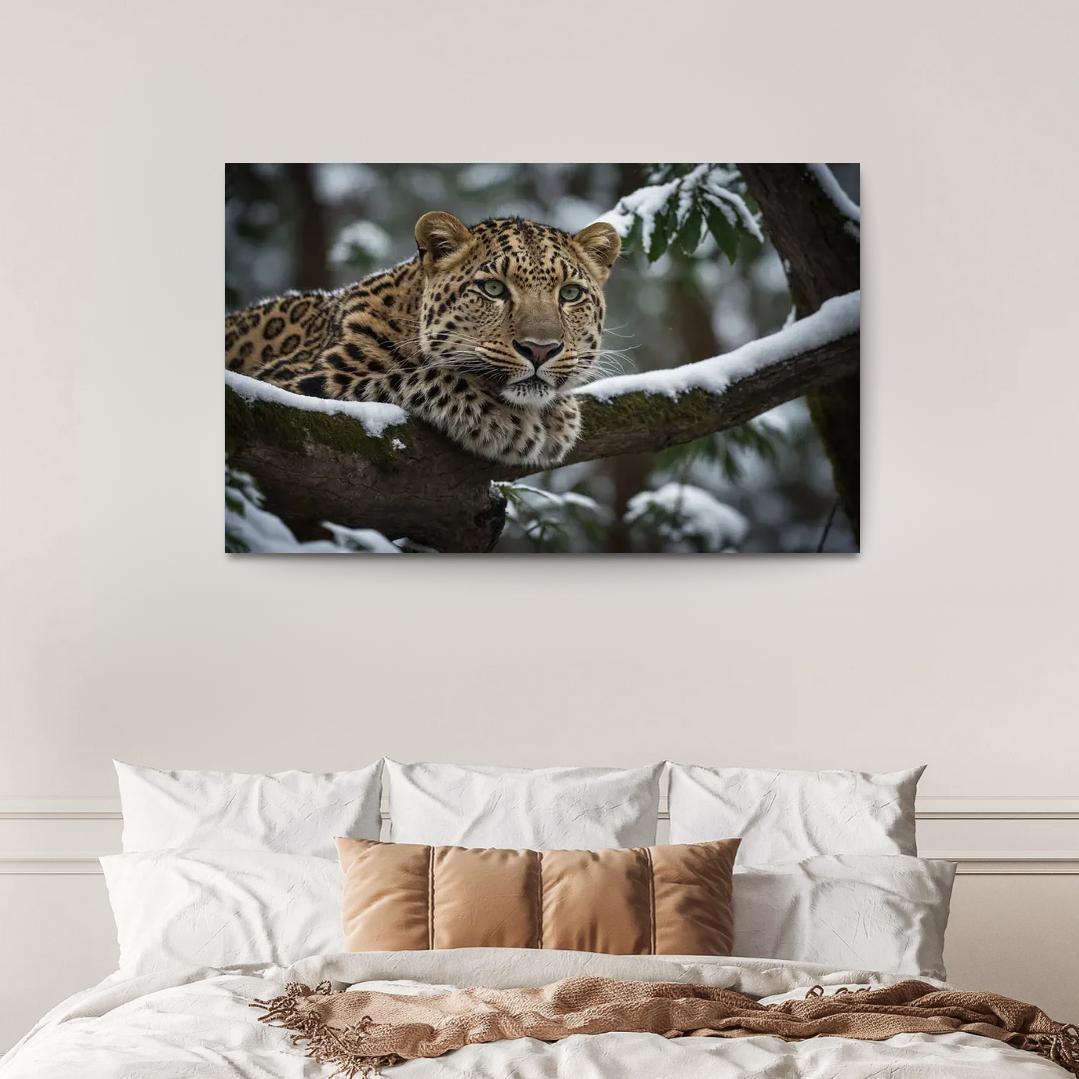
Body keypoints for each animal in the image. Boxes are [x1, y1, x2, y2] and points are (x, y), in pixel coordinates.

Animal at [225, 212, 621, 468]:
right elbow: (412, 376)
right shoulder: (288, 383)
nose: (540, 349)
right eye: (493, 289)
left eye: (570, 294)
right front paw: (504, 419)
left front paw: (561, 413)